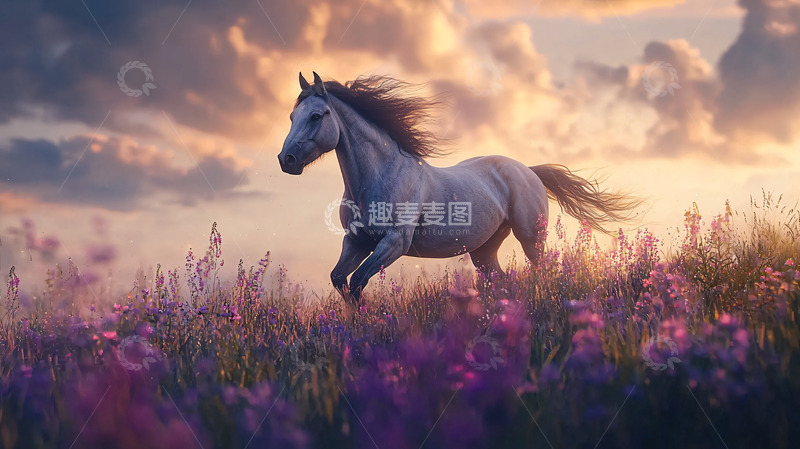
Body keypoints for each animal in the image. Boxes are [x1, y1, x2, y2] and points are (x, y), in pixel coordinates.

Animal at [279, 72, 641, 304]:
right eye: (292, 116)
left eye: (317, 116)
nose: (287, 159)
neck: (381, 176)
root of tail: (528, 171)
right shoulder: (356, 241)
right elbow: (341, 281)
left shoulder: (394, 243)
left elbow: (356, 283)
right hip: (484, 250)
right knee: (501, 281)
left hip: (530, 238)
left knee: (542, 272)